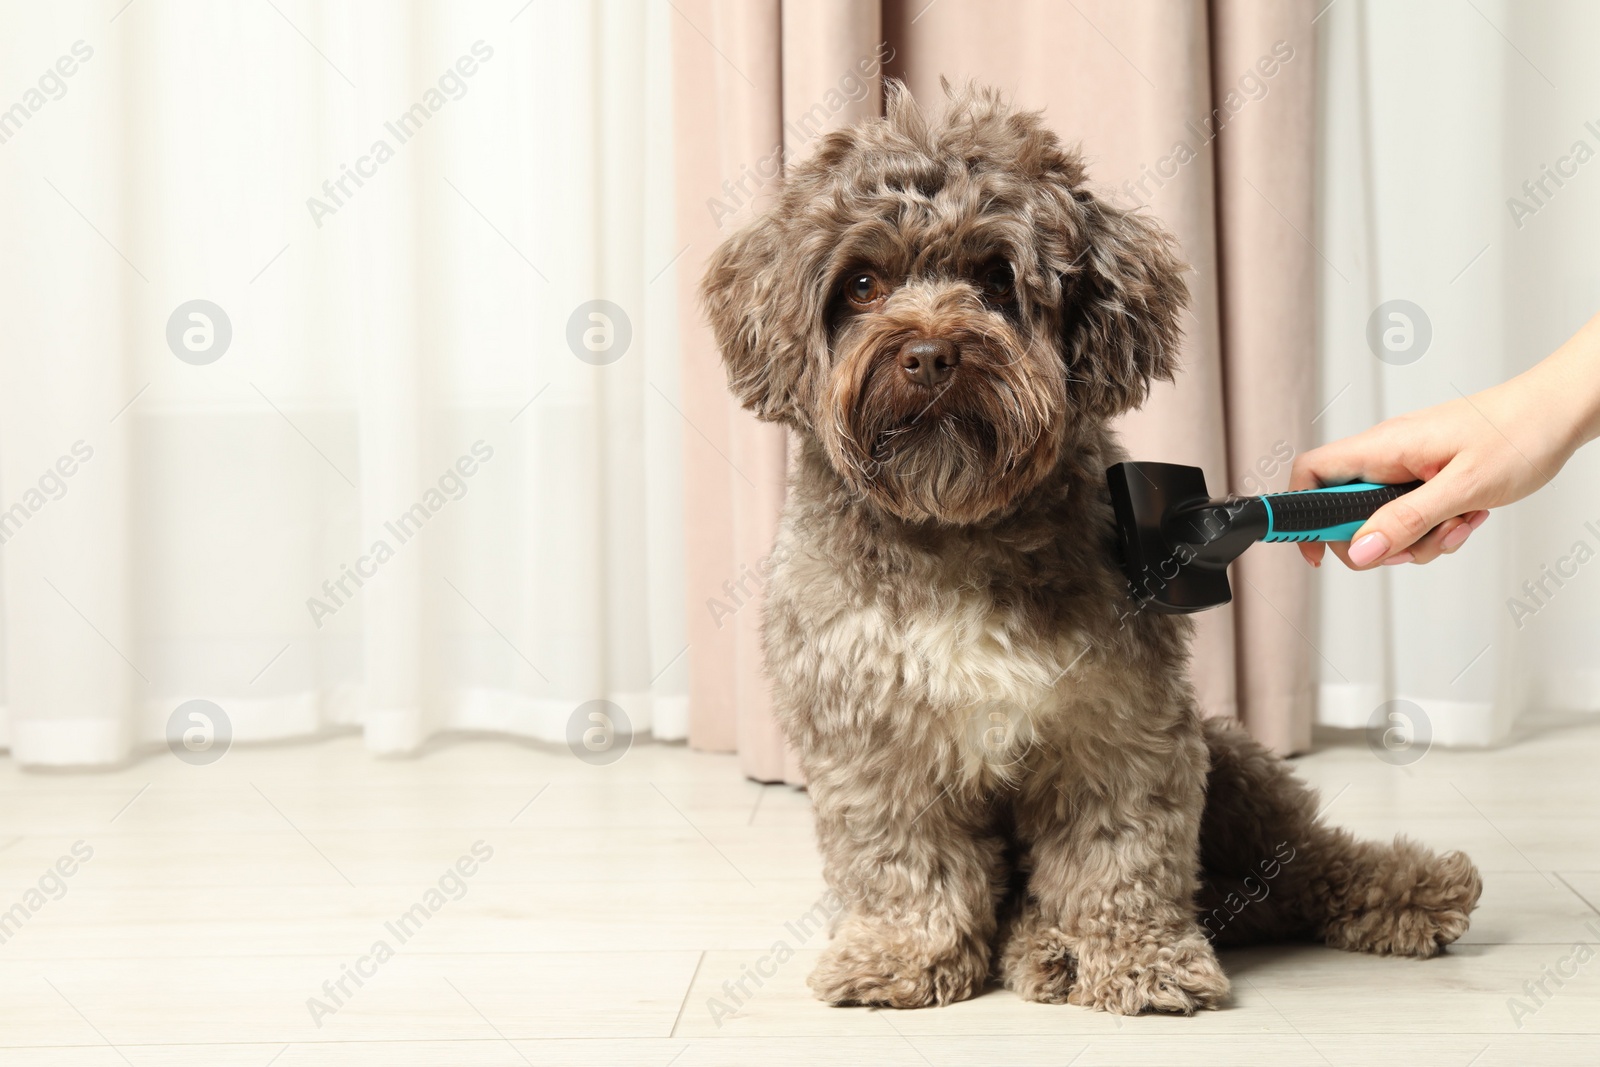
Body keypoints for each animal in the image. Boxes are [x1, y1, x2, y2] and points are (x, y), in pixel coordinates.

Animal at [707, 79, 1478, 1017]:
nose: (928, 353)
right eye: (860, 282)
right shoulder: (873, 737)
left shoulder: (1118, 722)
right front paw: (900, 954)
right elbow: (903, 861)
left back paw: (1412, 888)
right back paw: (1038, 945)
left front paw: (1138, 958)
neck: (958, 526)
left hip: (1235, 763)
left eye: (995, 276)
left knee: (1303, 860)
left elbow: (1118, 853)